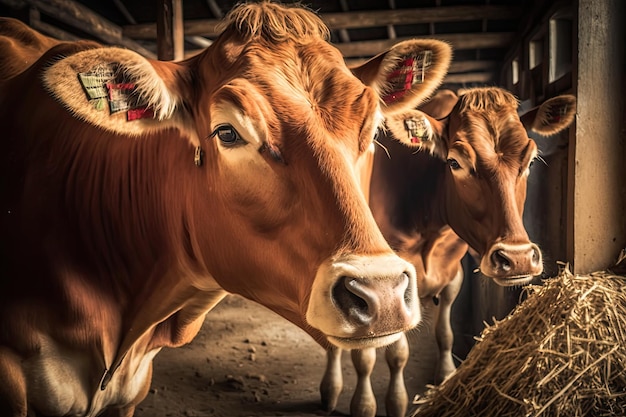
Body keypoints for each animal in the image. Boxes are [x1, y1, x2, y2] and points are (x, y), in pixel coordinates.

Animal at [322, 88, 576, 416]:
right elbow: (383, 354)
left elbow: (445, 335)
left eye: (531, 161)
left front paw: (444, 377)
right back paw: (330, 390)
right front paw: (376, 403)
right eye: (455, 163)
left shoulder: (453, 274)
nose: (517, 258)